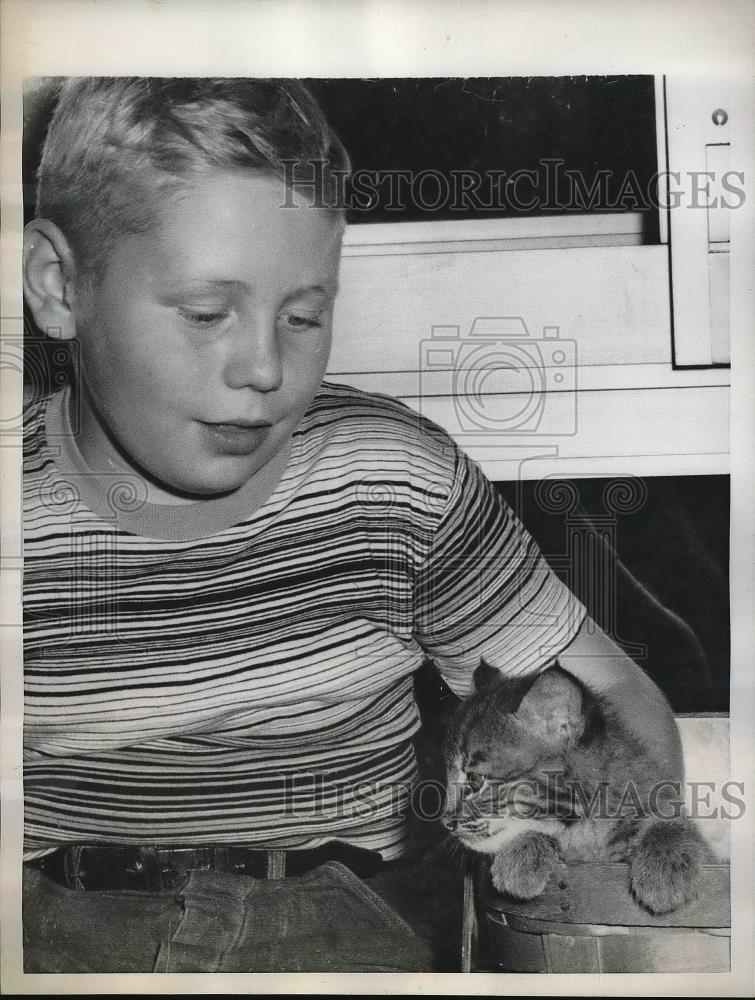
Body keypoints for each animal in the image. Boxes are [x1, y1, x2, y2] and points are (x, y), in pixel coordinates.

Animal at [440, 664, 712, 916]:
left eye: (475, 780)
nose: (446, 822)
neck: (587, 822)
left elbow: (667, 820)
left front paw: (664, 869)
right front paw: (520, 856)